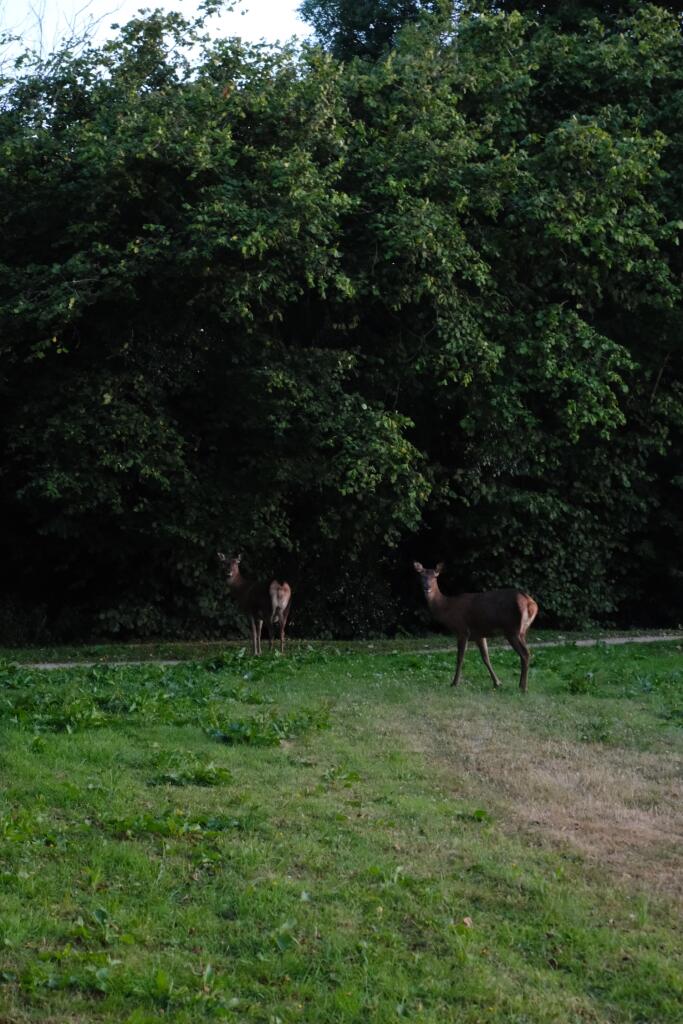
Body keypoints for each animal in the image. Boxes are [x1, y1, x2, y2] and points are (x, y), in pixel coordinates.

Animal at [413, 561, 538, 692]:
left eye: (435, 577)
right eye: (421, 576)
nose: (427, 587)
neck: (447, 609)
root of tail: (531, 604)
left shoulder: (462, 630)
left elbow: (460, 658)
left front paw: (454, 683)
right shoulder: (479, 634)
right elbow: (486, 658)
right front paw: (497, 683)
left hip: (512, 629)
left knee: (525, 654)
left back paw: (523, 687)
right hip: (522, 631)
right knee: (526, 653)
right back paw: (521, 684)